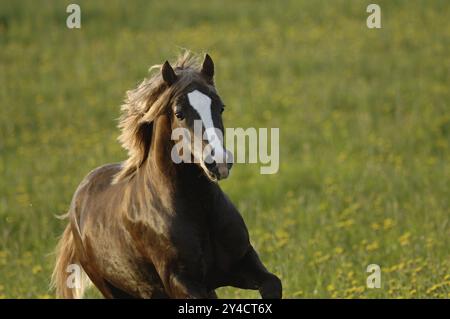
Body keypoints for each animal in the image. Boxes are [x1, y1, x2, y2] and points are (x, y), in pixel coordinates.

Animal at [50, 52, 282, 300]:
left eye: (220, 108)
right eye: (179, 113)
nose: (218, 162)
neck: (198, 207)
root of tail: (79, 198)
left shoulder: (242, 261)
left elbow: (273, 283)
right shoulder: (180, 281)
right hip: (114, 289)